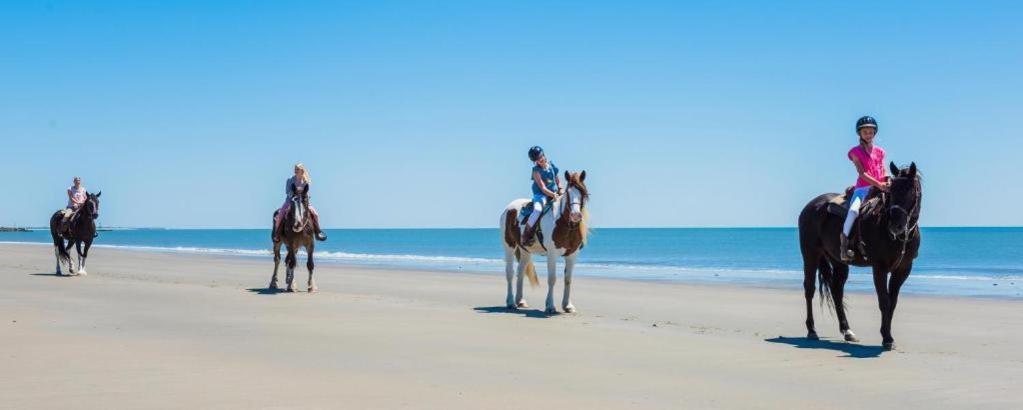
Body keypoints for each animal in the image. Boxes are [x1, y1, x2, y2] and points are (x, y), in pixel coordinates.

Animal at [499, 169, 589, 312]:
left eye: (583, 193)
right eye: (568, 193)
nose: (575, 216)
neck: (563, 223)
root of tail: (509, 208)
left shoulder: (572, 254)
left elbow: (568, 279)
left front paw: (568, 306)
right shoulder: (552, 254)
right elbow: (552, 279)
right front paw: (550, 305)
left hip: (525, 251)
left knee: (520, 271)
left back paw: (521, 301)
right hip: (509, 246)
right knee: (510, 272)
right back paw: (511, 302)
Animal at [793, 161, 924, 349]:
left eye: (910, 191)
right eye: (891, 191)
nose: (896, 225)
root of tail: (811, 206)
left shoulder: (904, 269)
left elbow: (892, 302)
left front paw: (888, 335)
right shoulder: (879, 268)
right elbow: (884, 301)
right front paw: (887, 338)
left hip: (838, 261)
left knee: (837, 291)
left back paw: (847, 331)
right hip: (810, 254)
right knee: (809, 289)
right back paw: (812, 330)